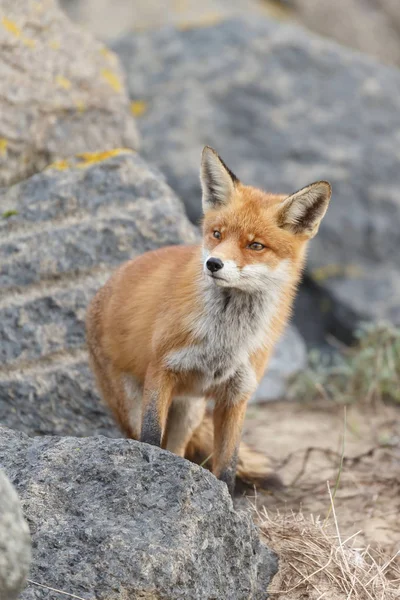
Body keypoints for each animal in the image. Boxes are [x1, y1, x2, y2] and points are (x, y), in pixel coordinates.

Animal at [86, 148, 332, 494]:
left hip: (189, 411)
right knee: (144, 437)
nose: (213, 263)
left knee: (178, 450)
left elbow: (227, 465)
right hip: (132, 403)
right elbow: (150, 439)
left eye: (255, 245)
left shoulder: (237, 393)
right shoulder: (161, 371)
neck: (226, 337)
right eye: (217, 234)